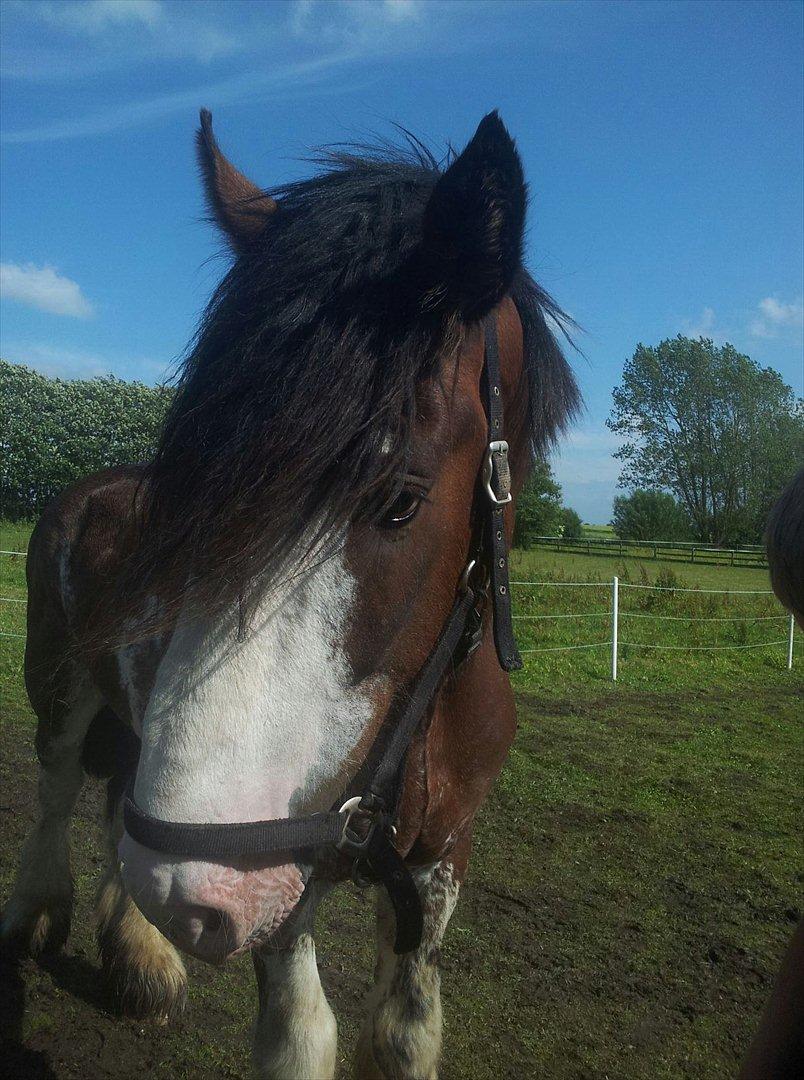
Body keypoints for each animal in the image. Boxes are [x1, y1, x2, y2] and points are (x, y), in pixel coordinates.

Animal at [0, 111, 579, 1080]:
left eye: (400, 500)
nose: (187, 889)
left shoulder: (440, 861)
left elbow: (407, 1031)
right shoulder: (282, 870)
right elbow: (301, 1038)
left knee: (117, 811)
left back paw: (141, 958)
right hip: (62, 691)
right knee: (57, 796)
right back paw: (44, 917)